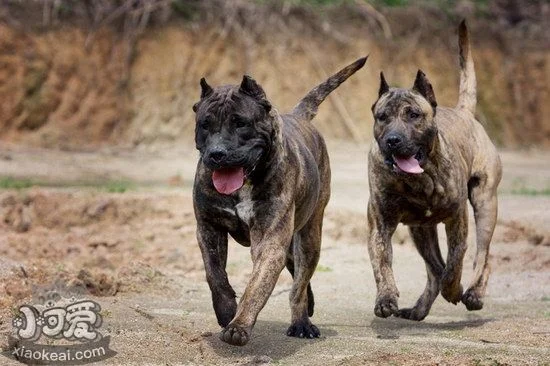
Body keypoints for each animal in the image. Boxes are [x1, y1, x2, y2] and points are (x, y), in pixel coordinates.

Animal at [192, 56, 368, 344]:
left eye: (240, 123)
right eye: (205, 125)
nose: (218, 153)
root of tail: (298, 116)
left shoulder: (270, 240)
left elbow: (256, 285)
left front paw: (239, 325)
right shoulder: (208, 227)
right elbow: (214, 274)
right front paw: (226, 310)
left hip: (309, 237)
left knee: (299, 284)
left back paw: (301, 322)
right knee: (298, 275)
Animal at [368, 22, 502, 320]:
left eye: (413, 115)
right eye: (382, 117)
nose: (393, 139)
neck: (419, 180)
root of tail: (465, 113)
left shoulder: (457, 219)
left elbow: (455, 261)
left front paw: (453, 288)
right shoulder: (380, 224)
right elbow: (382, 263)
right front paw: (385, 298)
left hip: (485, 204)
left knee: (483, 256)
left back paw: (473, 293)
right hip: (421, 231)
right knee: (433, 269)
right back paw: (419, 308)